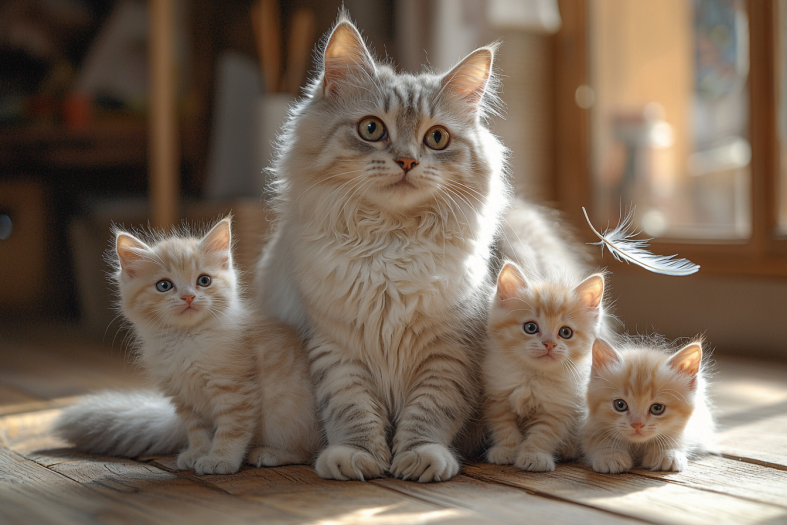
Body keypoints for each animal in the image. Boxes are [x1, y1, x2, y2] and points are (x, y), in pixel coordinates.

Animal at [53, 219, 320, 472]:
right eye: (164, 285)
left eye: (204, 280)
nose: (189, 296)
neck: (185, 340)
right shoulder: (183, 397)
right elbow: (198, 431)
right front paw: (198, 453)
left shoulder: (235, 389)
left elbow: (231, 429)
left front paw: (220, 459)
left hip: (287, 416)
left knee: (308, 453)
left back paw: (270, 453)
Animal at [255, 12, 508, 482]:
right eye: (371, 129)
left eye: (437, 138)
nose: (407, 161)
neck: (391, 243)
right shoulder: (336, 348)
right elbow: (352, 410)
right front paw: (358, 457)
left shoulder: (448, 350)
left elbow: (430, 411)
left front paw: (419, 457)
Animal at [484, 262, 608, 470]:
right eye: (530, 327)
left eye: (565, 332)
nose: (549, 344)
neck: (532, 377)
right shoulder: (497, 398)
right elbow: (505, 427)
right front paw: (506, 450)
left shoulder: (558, 409)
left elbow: (542, 435)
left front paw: (533, 457)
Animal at [580, 338, 716, 472]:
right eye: (620, 405)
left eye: (657, 408)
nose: (637, 424)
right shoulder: (590, 425)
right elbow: (600, 438)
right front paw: (610, 456)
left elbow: (673, 436)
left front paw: (667, 454)